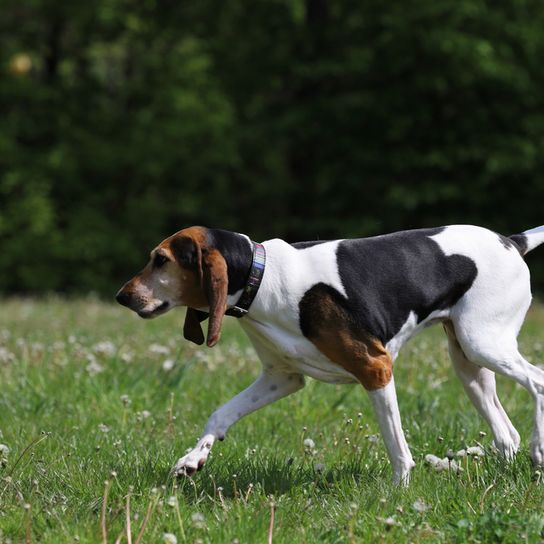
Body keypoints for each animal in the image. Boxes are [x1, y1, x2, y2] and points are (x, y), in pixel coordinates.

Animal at [115, 225, 544, 484]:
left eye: (161, 260)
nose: (122, 296)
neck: (262, 276)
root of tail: (512, 240)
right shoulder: (281, 378)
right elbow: (220, 415)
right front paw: (192, 459)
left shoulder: (375, 367)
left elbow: (397, 448)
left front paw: (400, 493)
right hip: (469, 363)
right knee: (506, 433)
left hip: (483, 344)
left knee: (537, 382)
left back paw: (538, 449)